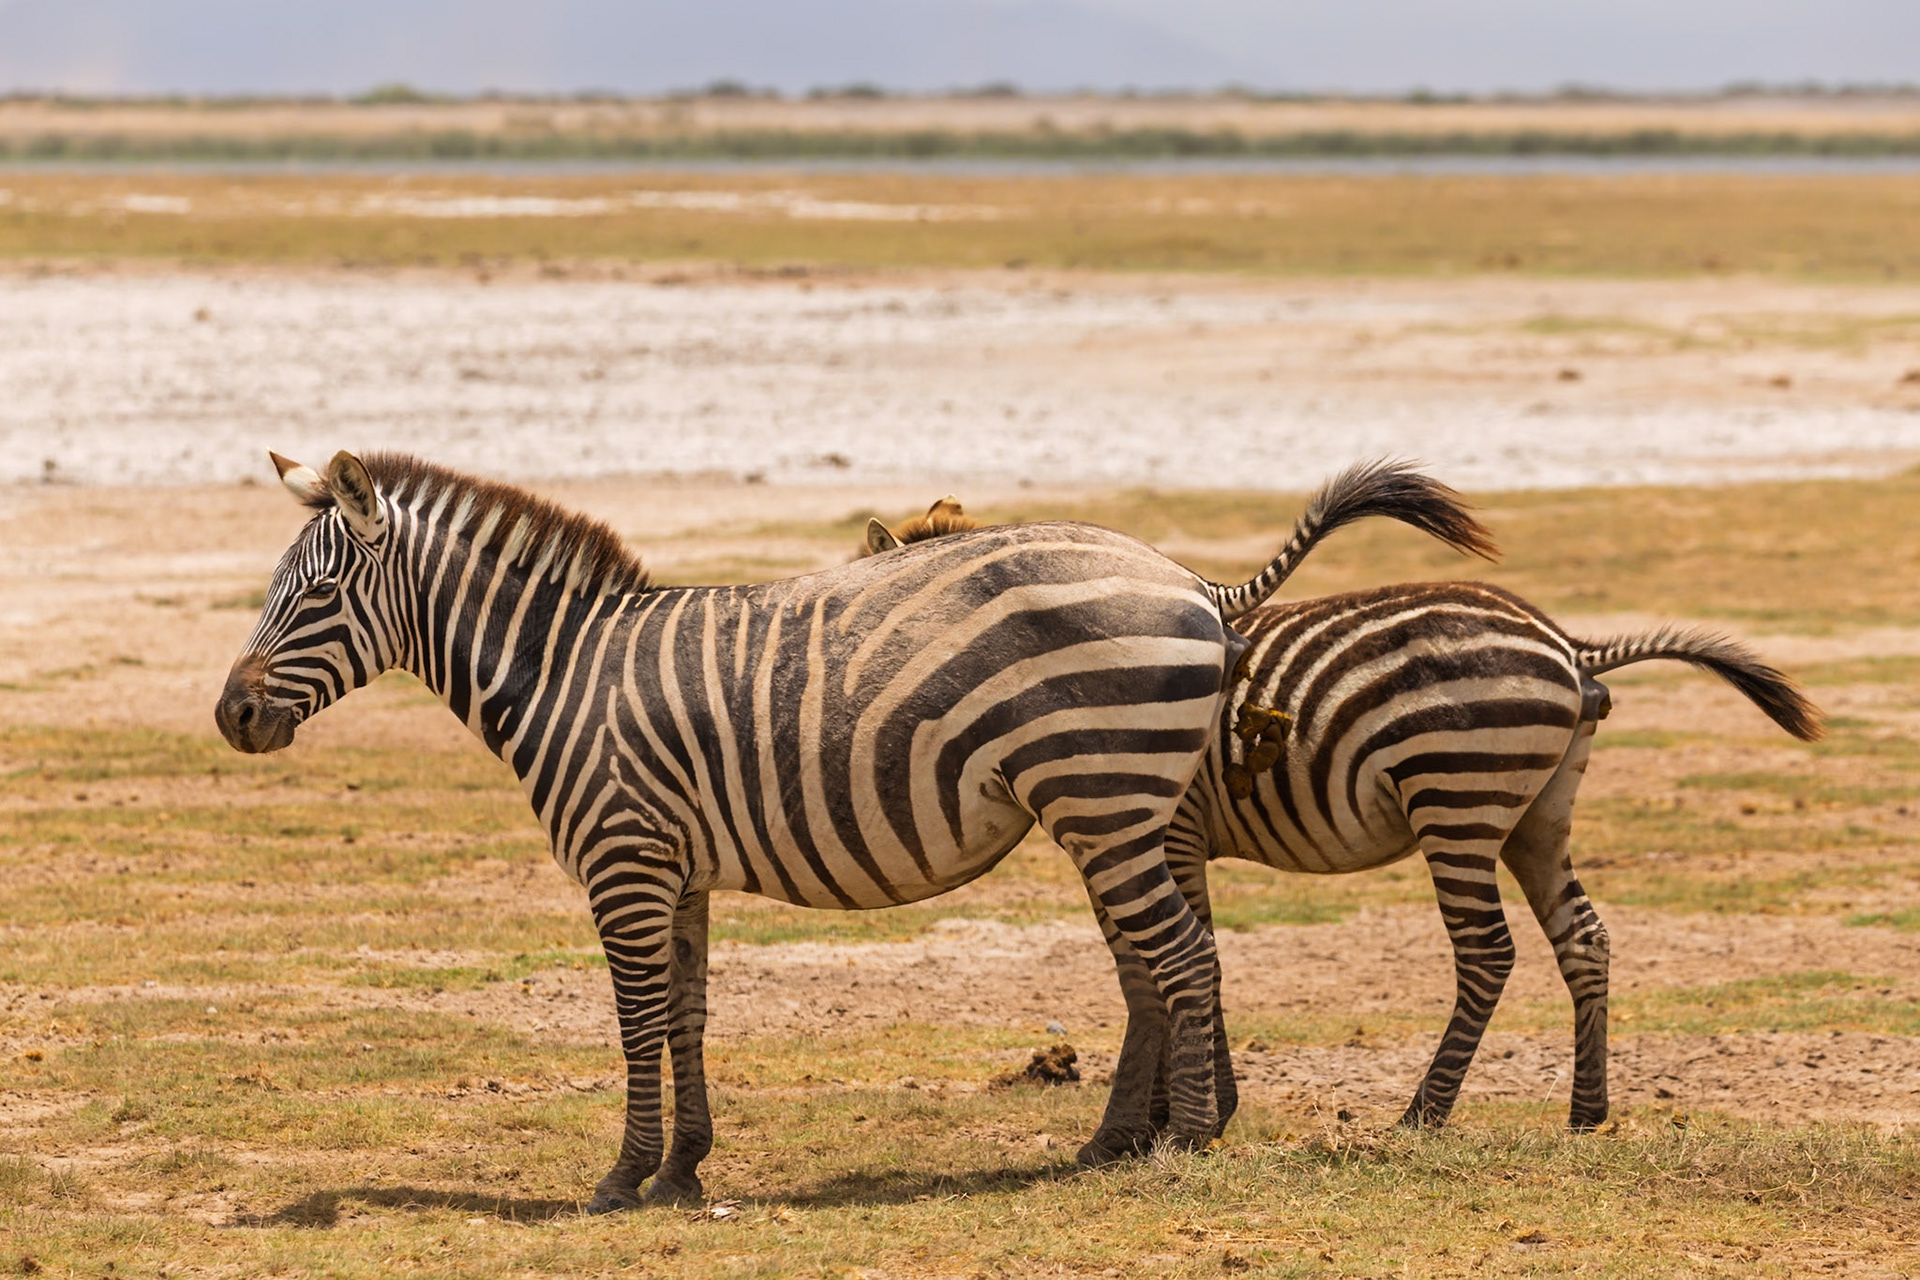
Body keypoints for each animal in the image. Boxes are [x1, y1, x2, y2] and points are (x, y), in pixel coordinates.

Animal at [214, 450, 1492, 1209]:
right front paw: (686, 1165)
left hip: (1103, 794)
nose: (229, 715)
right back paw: (1145, 1133)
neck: (567, 671)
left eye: (312, 595)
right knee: (1167, 958)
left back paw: (1183, 1145)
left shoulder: (623, 858)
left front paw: (622, 1174)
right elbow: (685, 1013)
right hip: (1117, 804)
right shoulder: (677, 868)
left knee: (1179, 956)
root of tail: (1196, 583)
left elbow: (632, 1020)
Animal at [866, 513, 1821, 1142]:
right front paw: (1203, 1106)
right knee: (1583, 938)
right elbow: (1197, 949)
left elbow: (1186, 951)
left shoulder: (1169, 828)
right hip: (1539, 815)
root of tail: (1570, 647)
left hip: (1458, 795)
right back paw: (1587, 1112)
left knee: (1488, 952)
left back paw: (1424, 1113)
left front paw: (1190, 1113)